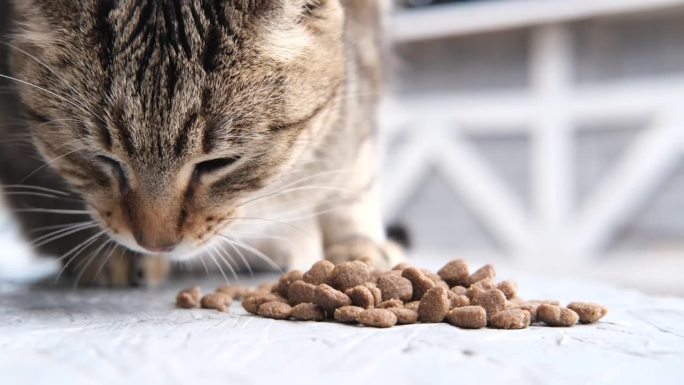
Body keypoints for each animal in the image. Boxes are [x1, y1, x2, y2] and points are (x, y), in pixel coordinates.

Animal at [0, 0, 400, 286]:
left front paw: (355, 245)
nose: (155, 244)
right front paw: (109, 255)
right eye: (103, 159)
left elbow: (352, 177)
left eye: (218, 163)